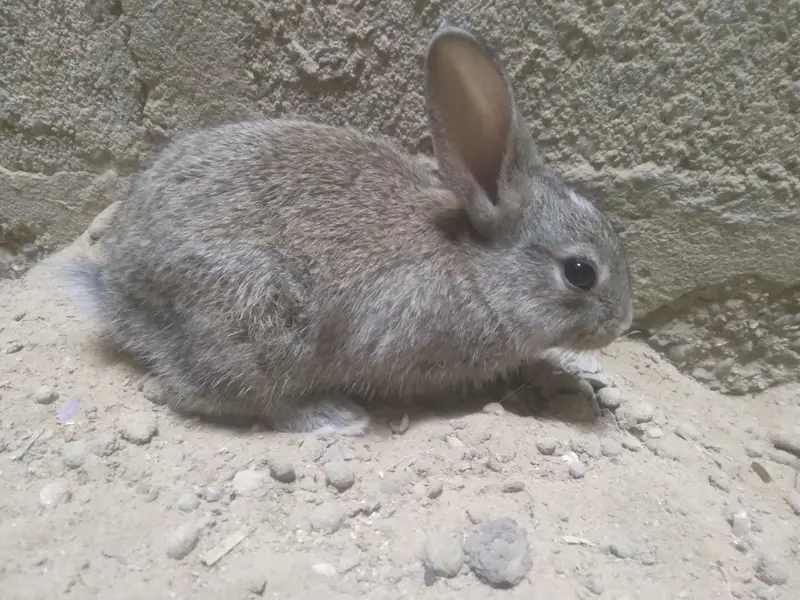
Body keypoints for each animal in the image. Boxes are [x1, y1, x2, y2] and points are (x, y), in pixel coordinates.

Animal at [62, 20, 633, 436]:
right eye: (580, 272)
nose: (623, 322)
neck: (478, 269)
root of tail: (118, 293)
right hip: (258, 324)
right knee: (214, 392)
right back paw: (333, 417)